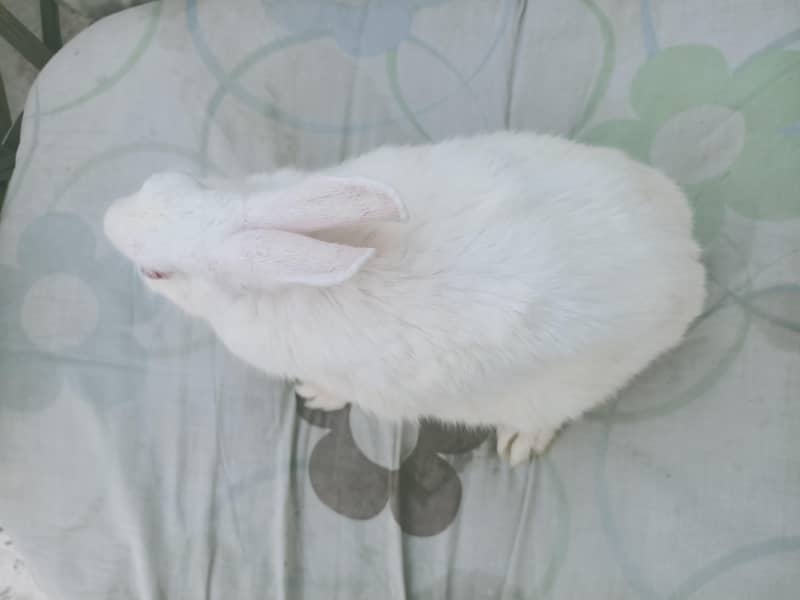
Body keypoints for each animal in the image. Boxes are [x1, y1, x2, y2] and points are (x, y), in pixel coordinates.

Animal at [103, 131, 706, 464]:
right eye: (163, 183)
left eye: (156, 273)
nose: (107, 218)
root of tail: (687, 256)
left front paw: (316, 397)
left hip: (558, 390)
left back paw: (519, 442)